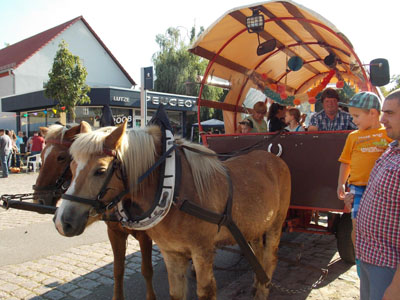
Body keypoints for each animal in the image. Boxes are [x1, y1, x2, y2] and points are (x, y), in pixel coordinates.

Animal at [35, 122, 155, 300]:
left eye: (61, 157)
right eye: (42, 156)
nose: (38, 199)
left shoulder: (145, 236)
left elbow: (147, 270)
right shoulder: (114, 233)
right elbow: (118, 270)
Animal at [53, 122, 290, 300]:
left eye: (100, 171)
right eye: (71, 167)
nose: (62, 221)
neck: (173, 189)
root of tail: (273, 157)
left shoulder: (202, 251)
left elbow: (206, 291)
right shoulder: (171, 252)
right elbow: (176, 293)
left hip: (277, 223)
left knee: (270, 257)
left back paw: (263, 289)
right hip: (254, 225)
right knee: (258, 251)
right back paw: (257, 283)